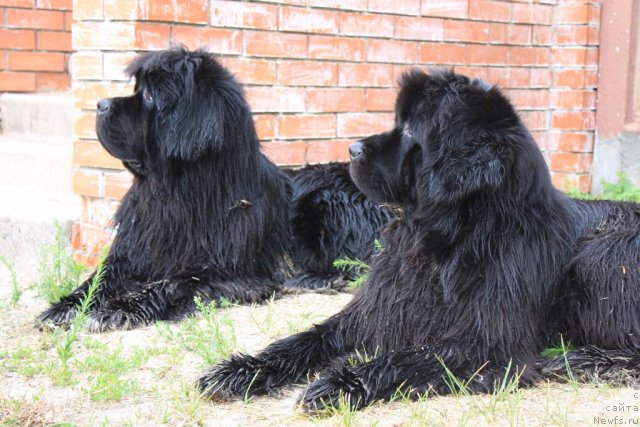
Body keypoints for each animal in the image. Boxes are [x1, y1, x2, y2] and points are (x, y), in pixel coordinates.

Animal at [200, 69, 640, 412]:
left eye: (412, 130)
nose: (352, 148)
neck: (448, 240)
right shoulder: (376, 308)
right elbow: (305, 339)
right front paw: (240, 369)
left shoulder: (488, 345)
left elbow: (411, 357)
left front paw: (341, 383)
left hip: (602, 255)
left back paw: (588, 360)